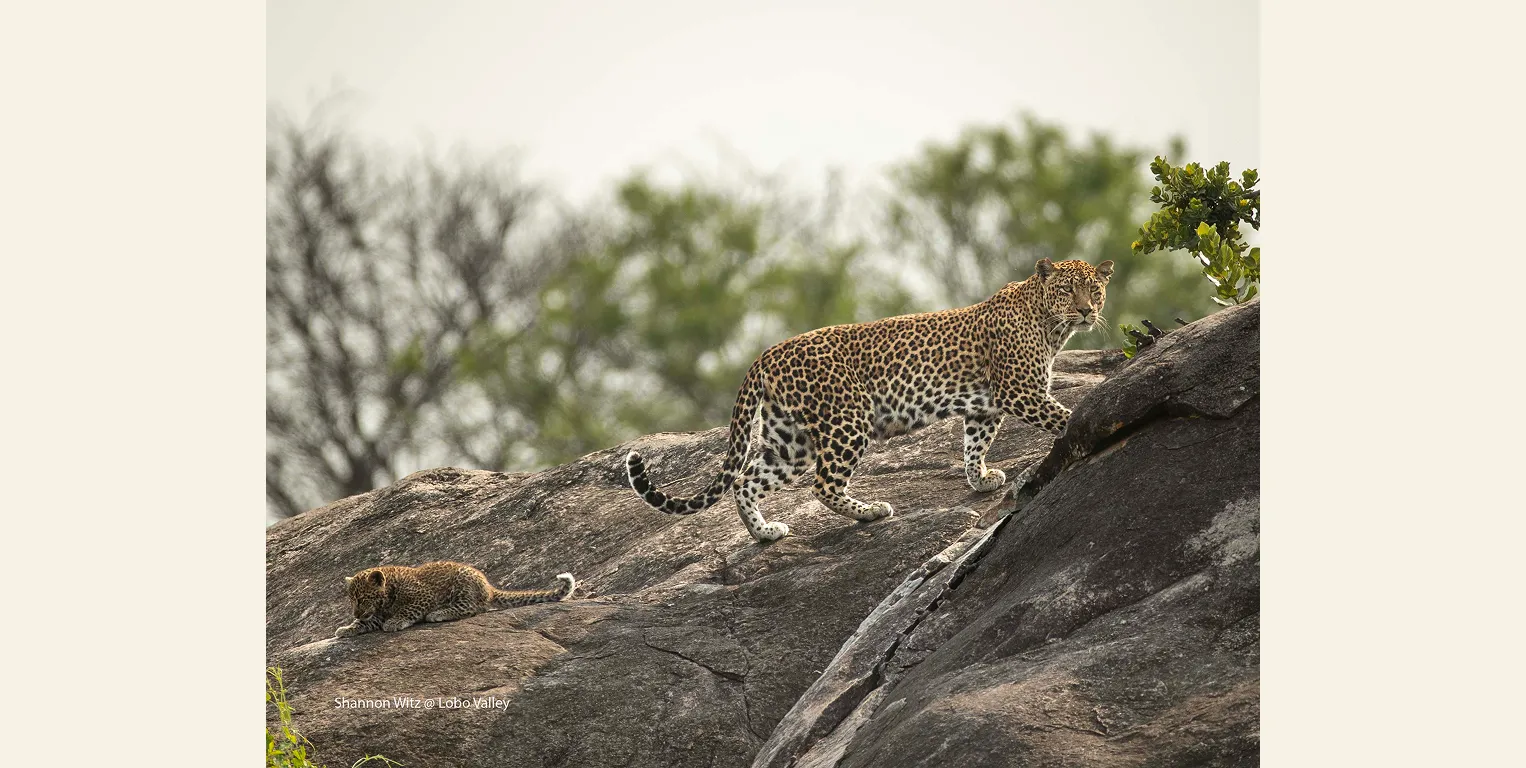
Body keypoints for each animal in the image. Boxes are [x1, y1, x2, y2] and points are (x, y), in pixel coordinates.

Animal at [334, 561, 577, 637]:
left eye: (362, 598)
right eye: (352, 600)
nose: (355, 611)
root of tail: (488, 588)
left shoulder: (424, 596)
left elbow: (407, 610)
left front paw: (395, 622)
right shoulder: (375, 615)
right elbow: (364, 623)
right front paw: (346, 628)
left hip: (463, 585)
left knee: (471, 608)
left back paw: (439, 613)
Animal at [626, 257, 1113, 544]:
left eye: (1094, 289)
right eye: (1067, 290)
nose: (1087, 310)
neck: (1049, 323)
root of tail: (766, 353)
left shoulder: (985, 404)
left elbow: (974, 445)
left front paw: (981, 480)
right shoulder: (1019, 391)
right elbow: (1062, 416)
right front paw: (1083, 423)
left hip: (790, 440)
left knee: (747, 480)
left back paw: (765, 533)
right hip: (847, 420)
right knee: (823, 483)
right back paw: (870, 512)